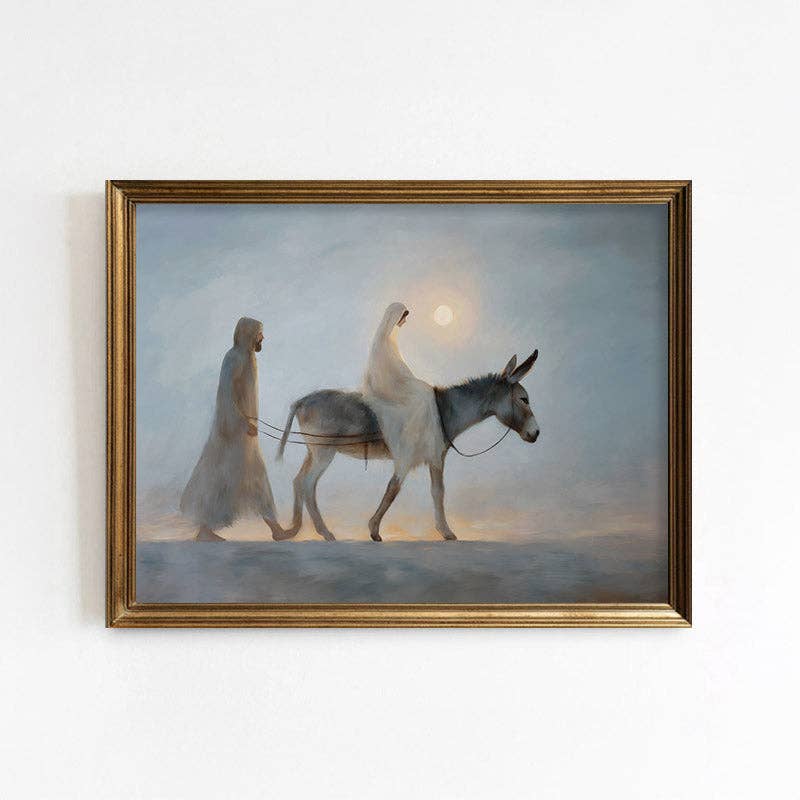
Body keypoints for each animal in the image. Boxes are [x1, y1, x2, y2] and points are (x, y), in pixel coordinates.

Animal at [276, 350, 540, 541]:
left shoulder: (434, 456)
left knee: (298, 481)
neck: (444, 411)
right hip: (324, 452)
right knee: (308, 484)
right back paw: (325, 532)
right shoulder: (420, 457)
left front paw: (443, 531)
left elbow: (434, 491)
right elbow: (399, 489)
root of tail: (301, 401)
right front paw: (374, 530)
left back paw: (292, 529)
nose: (536, 433)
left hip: (313, 451)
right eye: (524, 399)